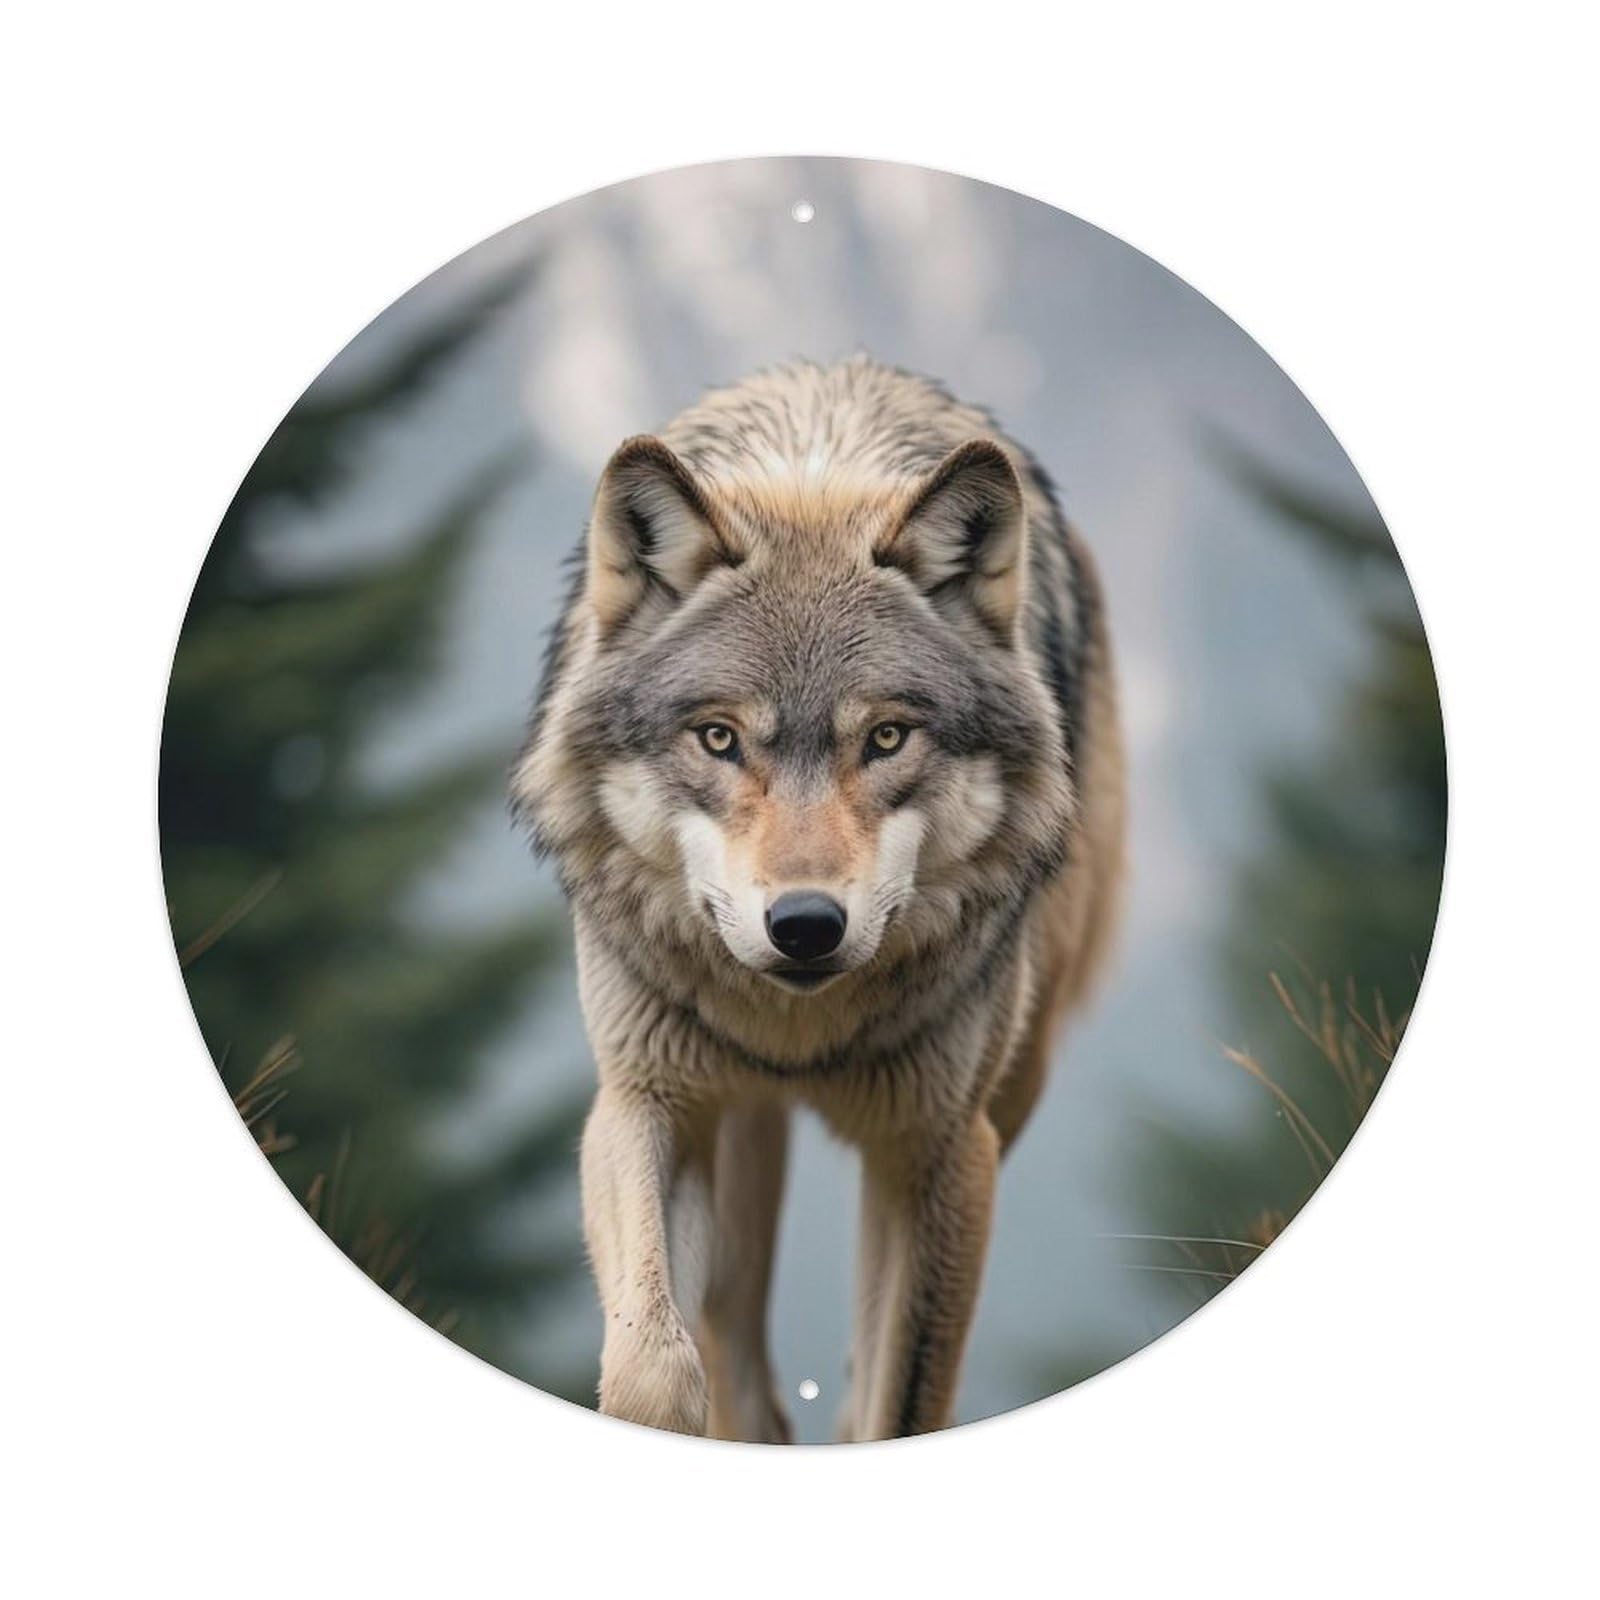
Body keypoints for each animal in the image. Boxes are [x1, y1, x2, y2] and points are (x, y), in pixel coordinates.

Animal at [512, 356, 1125, 1441]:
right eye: (719, 738)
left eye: (885, 738)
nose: (804, 926)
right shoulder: (642, 1099)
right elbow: (651, 1371)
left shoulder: (940, 1154)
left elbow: (897, 1401)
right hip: (737, 1127)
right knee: (736, 1347)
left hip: (1010, 1087)